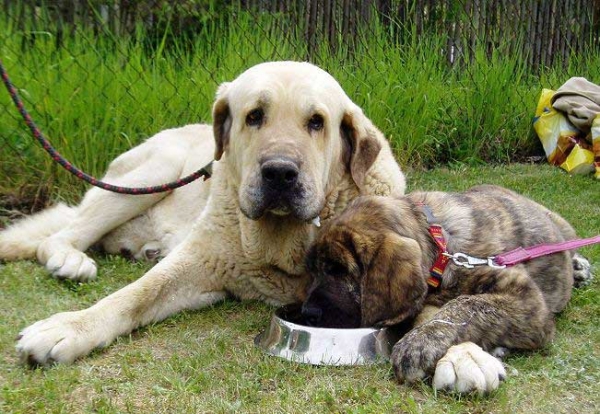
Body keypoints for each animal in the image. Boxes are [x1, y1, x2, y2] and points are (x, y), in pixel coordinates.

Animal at [7, 61, 406, 366]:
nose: (279, 172)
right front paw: (69, 327)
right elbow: (136, 294)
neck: (280, 242)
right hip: (157, 170)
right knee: (58, 236)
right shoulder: (200, 260)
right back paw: (70, 260)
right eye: (254, 116)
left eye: (317, 121)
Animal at [302, 185, 592, 394]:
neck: (441, 246)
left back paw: (580, 267)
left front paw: (418, 343)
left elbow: (468, 304)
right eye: (316, 270)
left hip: (563, 228)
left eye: (338, 269)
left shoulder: (527, 299)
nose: (307, 314)